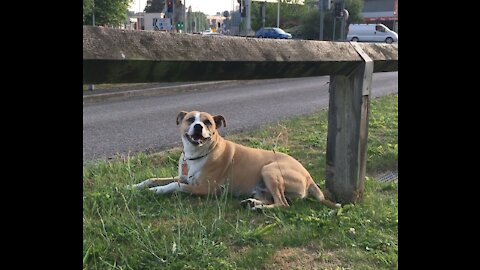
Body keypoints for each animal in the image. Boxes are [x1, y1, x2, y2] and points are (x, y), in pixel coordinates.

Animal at [131, 110, 342, 210]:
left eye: (208, 122)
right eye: (191, 119)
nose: (199, 126)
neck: (198, 153)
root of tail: (309, 177)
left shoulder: (205, 189)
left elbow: (175, 186)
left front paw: (157, 191)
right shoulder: (184, 177)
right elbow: (155, 178)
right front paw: (134, 186)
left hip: (270, 170)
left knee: (283, 204)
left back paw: (258, 208)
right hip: (262, 186)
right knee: (272, 199)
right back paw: (253, 203)